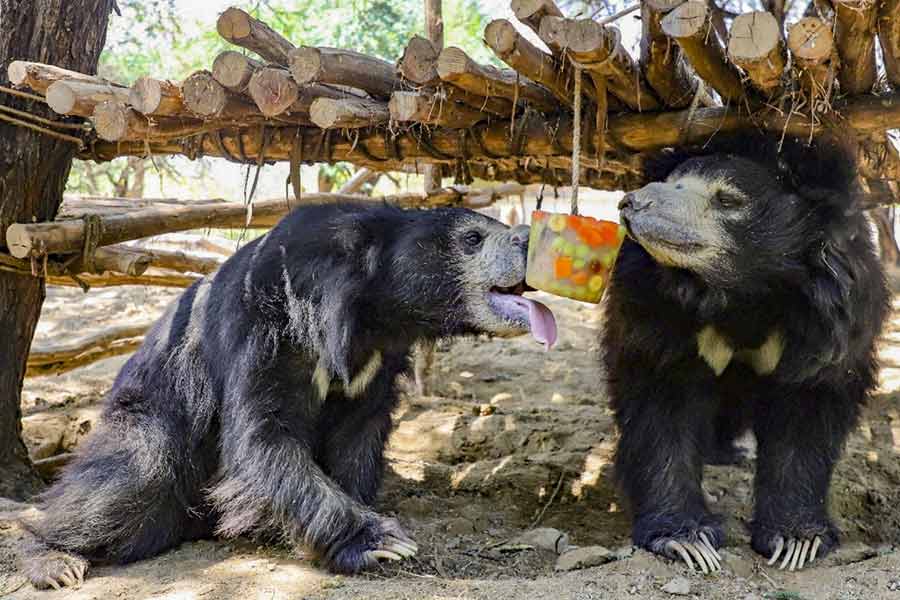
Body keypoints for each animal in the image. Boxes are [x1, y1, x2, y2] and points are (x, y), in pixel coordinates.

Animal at [19, 202, 558, 589]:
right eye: (472, 238)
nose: (529, 238)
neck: (370, 310)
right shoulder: (265, 329)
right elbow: (263, 436)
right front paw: (381, 541)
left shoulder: (376, 364)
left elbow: (358, 434)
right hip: (149, 414)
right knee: (129, 479)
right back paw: (54, 560)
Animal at [603, 132, 889, 573]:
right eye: (671, 181)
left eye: (727, 200)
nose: (633, 202)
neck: (745, 292)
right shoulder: (656, 314)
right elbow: (661, 409)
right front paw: (687, 540)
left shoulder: (831, 320)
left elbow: (807, 411)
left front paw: (796, 540)